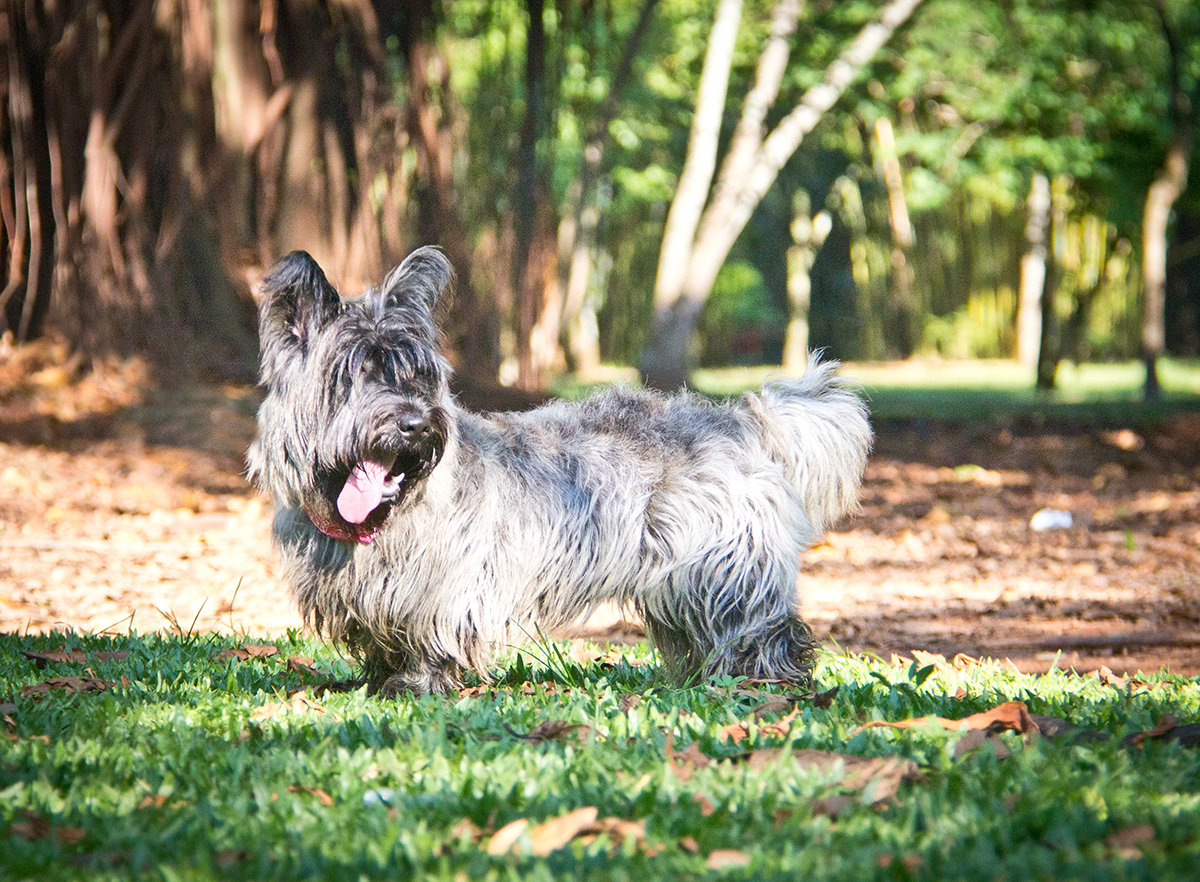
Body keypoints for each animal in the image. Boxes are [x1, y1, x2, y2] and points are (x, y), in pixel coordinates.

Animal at [250, 248, 873, 696]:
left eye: (418, 376)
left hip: (732, 572)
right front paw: (381, 680)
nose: (416, 425)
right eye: (352, 374)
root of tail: (740, 418)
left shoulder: (450, 589)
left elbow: (432, 638)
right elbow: (383, 642)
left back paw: (766, 682)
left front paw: (418, 684)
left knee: (768, 628)